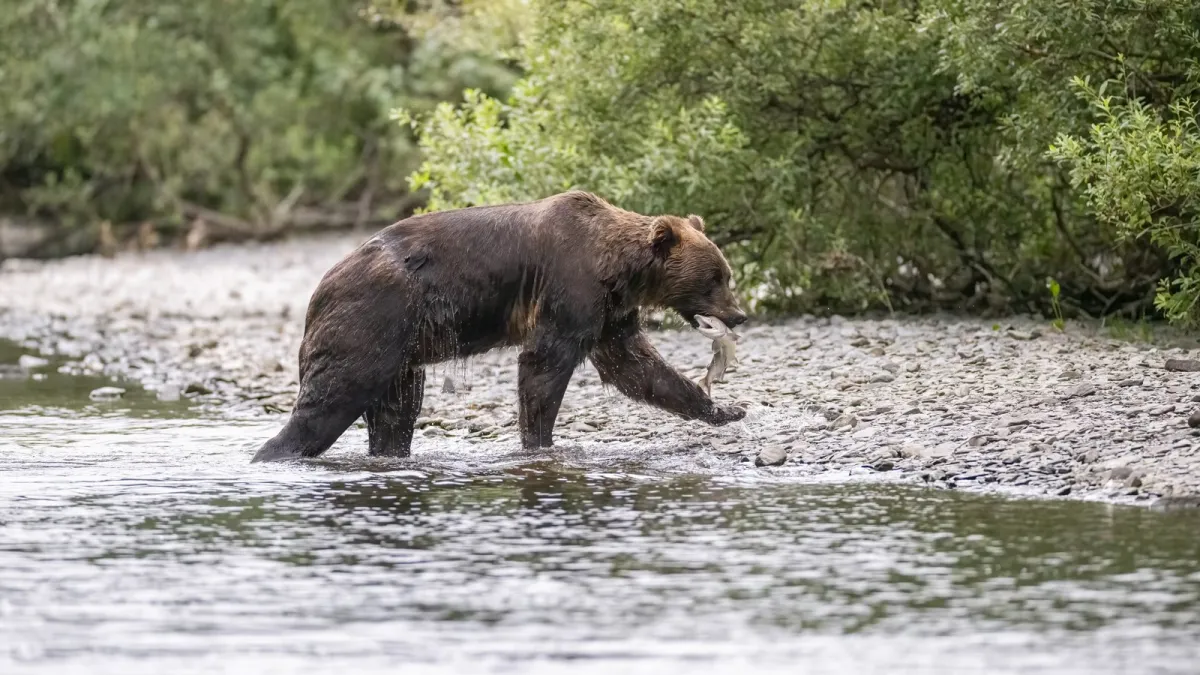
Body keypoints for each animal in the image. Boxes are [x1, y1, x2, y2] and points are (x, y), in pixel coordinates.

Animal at [249, 190, 744, 461]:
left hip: (401, 353)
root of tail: (320, 286)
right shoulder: (569, 290)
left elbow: (638, 369)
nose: (738, 315)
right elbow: (544, 365)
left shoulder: (610, 314)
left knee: (395, 415)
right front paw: (539, 441)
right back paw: (274, 453)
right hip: (368, 322)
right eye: (714, 278)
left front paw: (724, 409)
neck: (619, 271)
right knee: (329, 398)